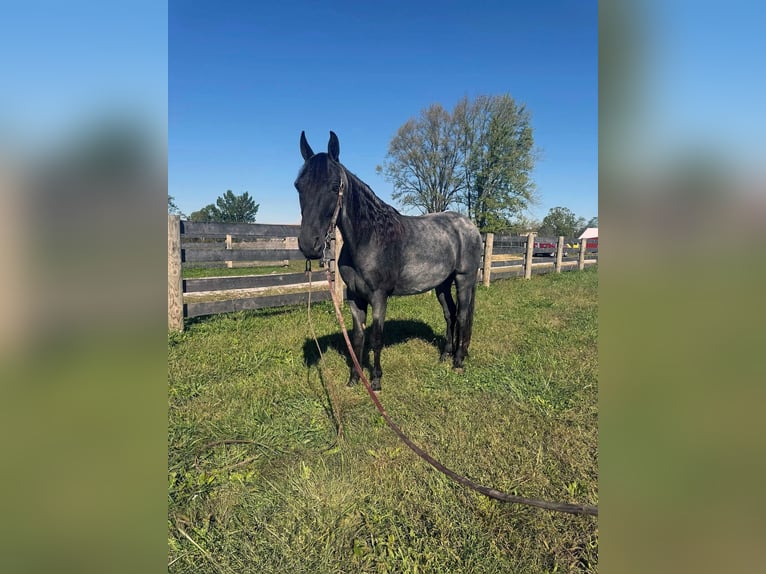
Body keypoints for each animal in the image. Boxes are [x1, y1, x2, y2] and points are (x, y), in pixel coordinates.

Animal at [295, 131, 483, 391]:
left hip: (464, 279)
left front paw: (375, 380)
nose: (308, 245)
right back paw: (445, 355)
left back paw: (458, 361)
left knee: (464, 316)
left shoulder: (379, 297)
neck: (369, 238)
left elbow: (376, 338)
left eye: (334, 187)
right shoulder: (355, 297)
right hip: (442, 284)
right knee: (451, 314)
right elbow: (357, 338)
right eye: (298, 186)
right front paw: (354, 378)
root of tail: (469, 226)